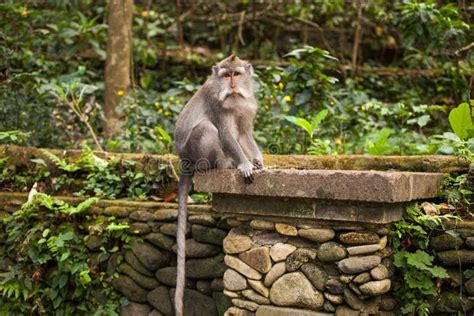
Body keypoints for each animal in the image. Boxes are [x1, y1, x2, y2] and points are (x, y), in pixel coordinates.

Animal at [174, 55, 262, 314]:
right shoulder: (217, 104)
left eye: (236, 74)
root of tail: (184, 160)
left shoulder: (246, 105)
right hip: (196, 154)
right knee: (206, 128)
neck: (234, 98)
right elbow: (226, 134)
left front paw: (258, 161)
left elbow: (243, 133)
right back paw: (224, 165)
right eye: (226, 75)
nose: (231, 85)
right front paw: (244, 164)